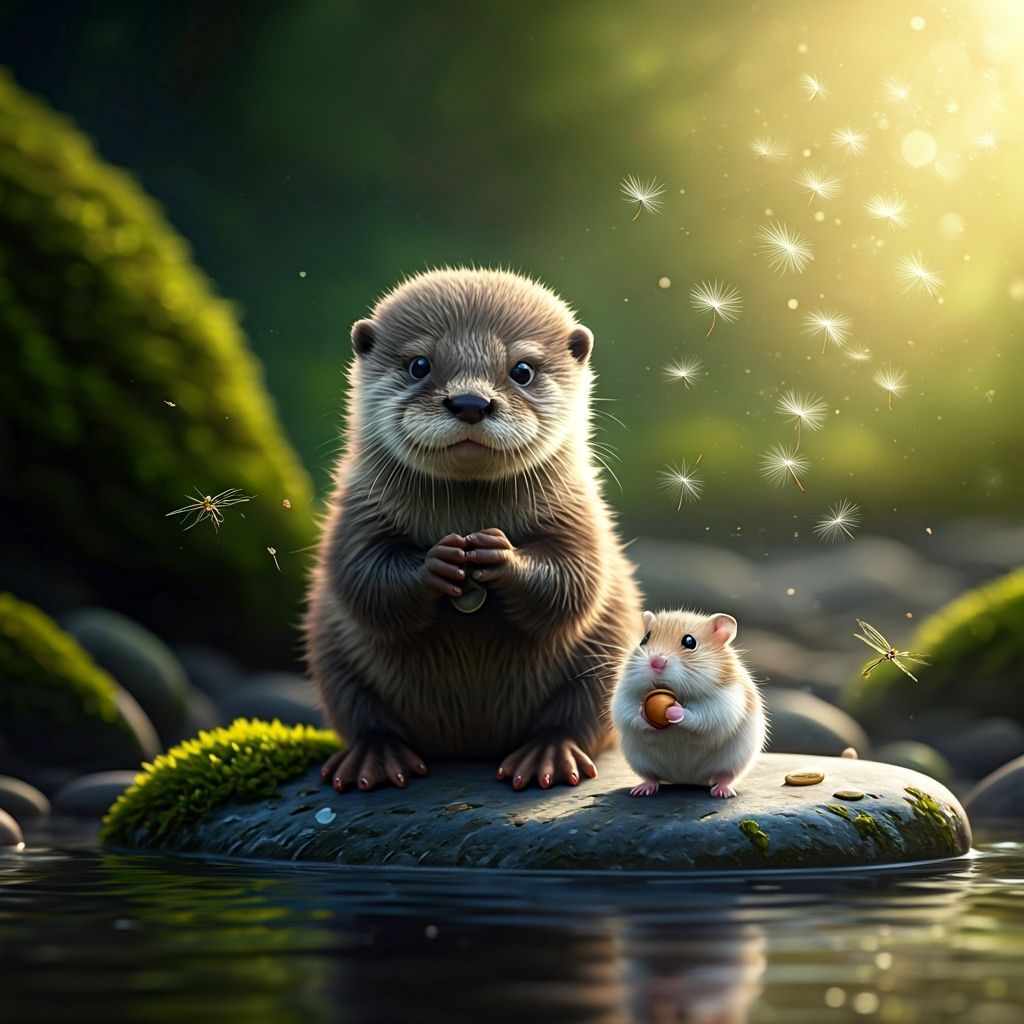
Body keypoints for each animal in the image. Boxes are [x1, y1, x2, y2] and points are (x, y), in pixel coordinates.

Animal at [305, 268, 642, 792]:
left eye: (522, 370)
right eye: (419, 364)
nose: (469, 402)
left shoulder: (582, 514)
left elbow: (576, 581)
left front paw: (497, 554)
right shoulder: (355, 512)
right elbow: (362, 580)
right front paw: (438, 562)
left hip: (607, 651)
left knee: (581, 717)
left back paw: (548, 756)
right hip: (330, 653)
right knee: (361, 713)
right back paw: (374, 758)